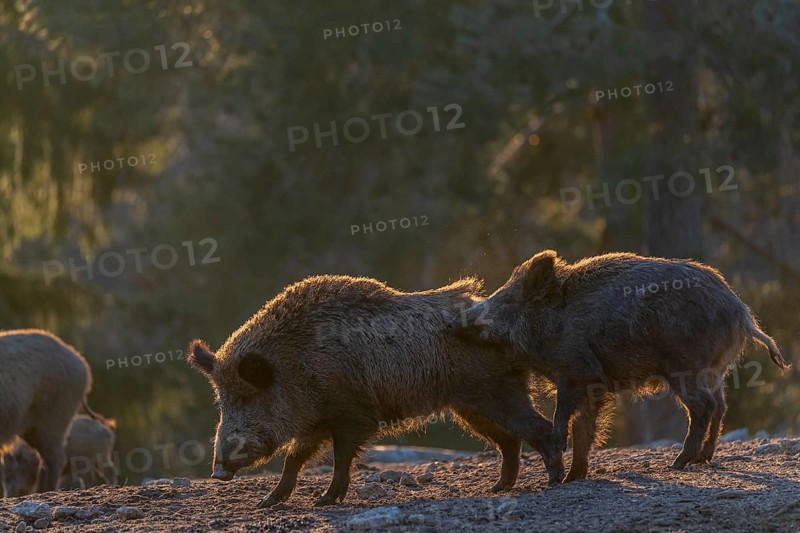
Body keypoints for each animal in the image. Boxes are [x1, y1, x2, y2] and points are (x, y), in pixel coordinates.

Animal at [188, 275, 564, 507]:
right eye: (221, 401)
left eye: (247, 396)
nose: (218, 472)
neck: (297, 362)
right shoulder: (317, 419)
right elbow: (295, 458)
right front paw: (267, 502)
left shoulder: (352, 414)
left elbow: (340, 457)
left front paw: (325, 500)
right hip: (470, 407)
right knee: (509, 440)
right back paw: (497, 488)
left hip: (495, 393)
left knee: (539, 428)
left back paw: (555, 481)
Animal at [451, 250, 789, 481]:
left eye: (508, 301)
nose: (457, 320)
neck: (554, 324)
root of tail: (741, 313)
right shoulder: (592, 383)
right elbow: (584, 428)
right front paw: (574, 477)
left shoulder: (576, 372)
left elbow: (565, 416)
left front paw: (561, 457)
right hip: (715, 369)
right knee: (720, 405)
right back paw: (702, 458)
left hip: (685, 366)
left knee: (704, 406)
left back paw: (679, 463)